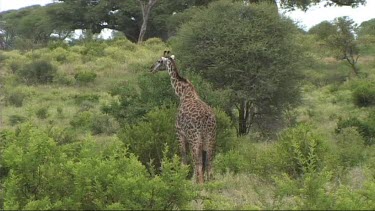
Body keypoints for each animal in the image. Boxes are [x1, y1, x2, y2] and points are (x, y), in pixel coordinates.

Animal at [151, 50, 217, 183]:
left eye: (159, 61)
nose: (151, 69)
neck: (182, 93)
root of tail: (207, 119)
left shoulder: (179, 133)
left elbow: (184, 159)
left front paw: (182, 180)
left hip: (194, 138)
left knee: (198, 162)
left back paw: (200, 184)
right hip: (210, 137)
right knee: (209, 162)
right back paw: (210, 184)